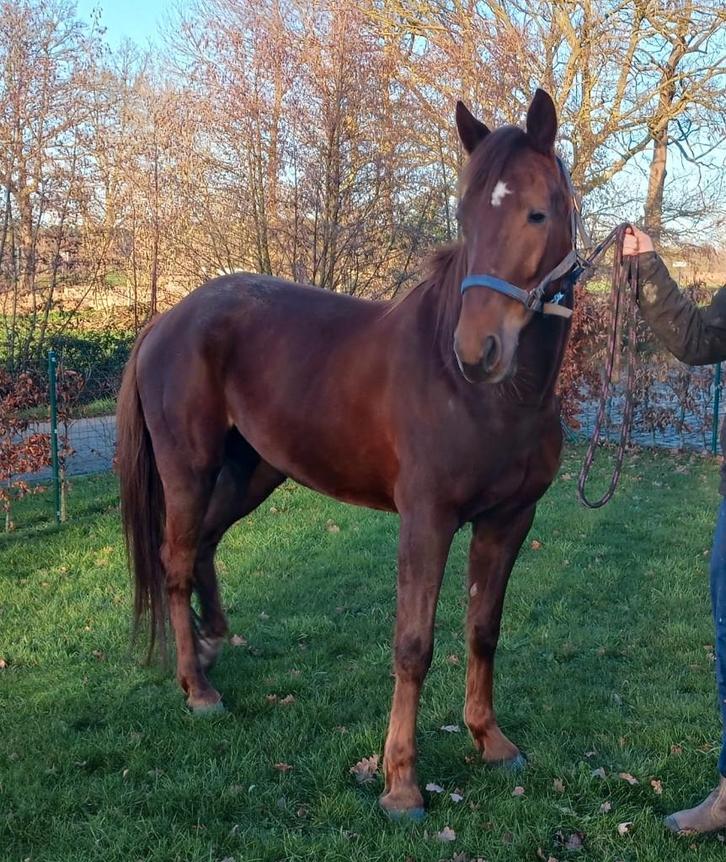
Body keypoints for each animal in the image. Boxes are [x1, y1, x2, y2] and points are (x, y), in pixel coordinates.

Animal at [117, 88, 577, 820]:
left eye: (539, 212)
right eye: (465, 214)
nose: (477, 352)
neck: (495, 399)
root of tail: (168, 319)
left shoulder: (509, 520)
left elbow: (483, 630)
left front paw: (491, 742)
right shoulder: (427, 520)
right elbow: (413, 645)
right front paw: (400, 784)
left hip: (253, 472)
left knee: (206, 546)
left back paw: (215, 645)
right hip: (189, 470)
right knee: (177, 562)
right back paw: (199, 689)